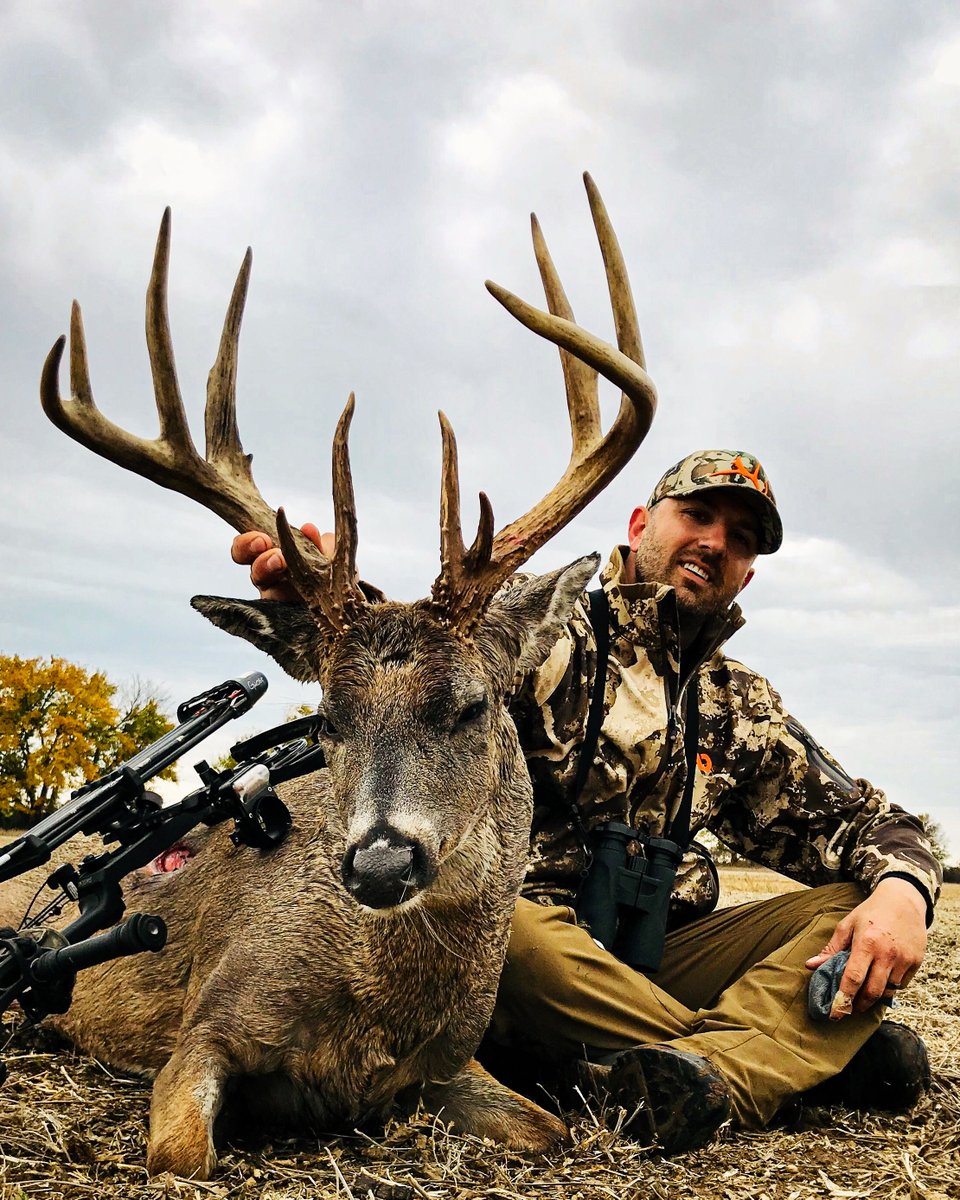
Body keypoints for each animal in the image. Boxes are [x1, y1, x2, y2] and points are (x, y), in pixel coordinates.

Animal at [6, 174, 657, 1180]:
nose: (383, 860)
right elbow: (182, 1154)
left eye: (473, 706)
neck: (378, 1016)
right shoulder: (206, 1024)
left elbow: (553, 1129)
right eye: (328, 719)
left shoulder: (445, 1069)